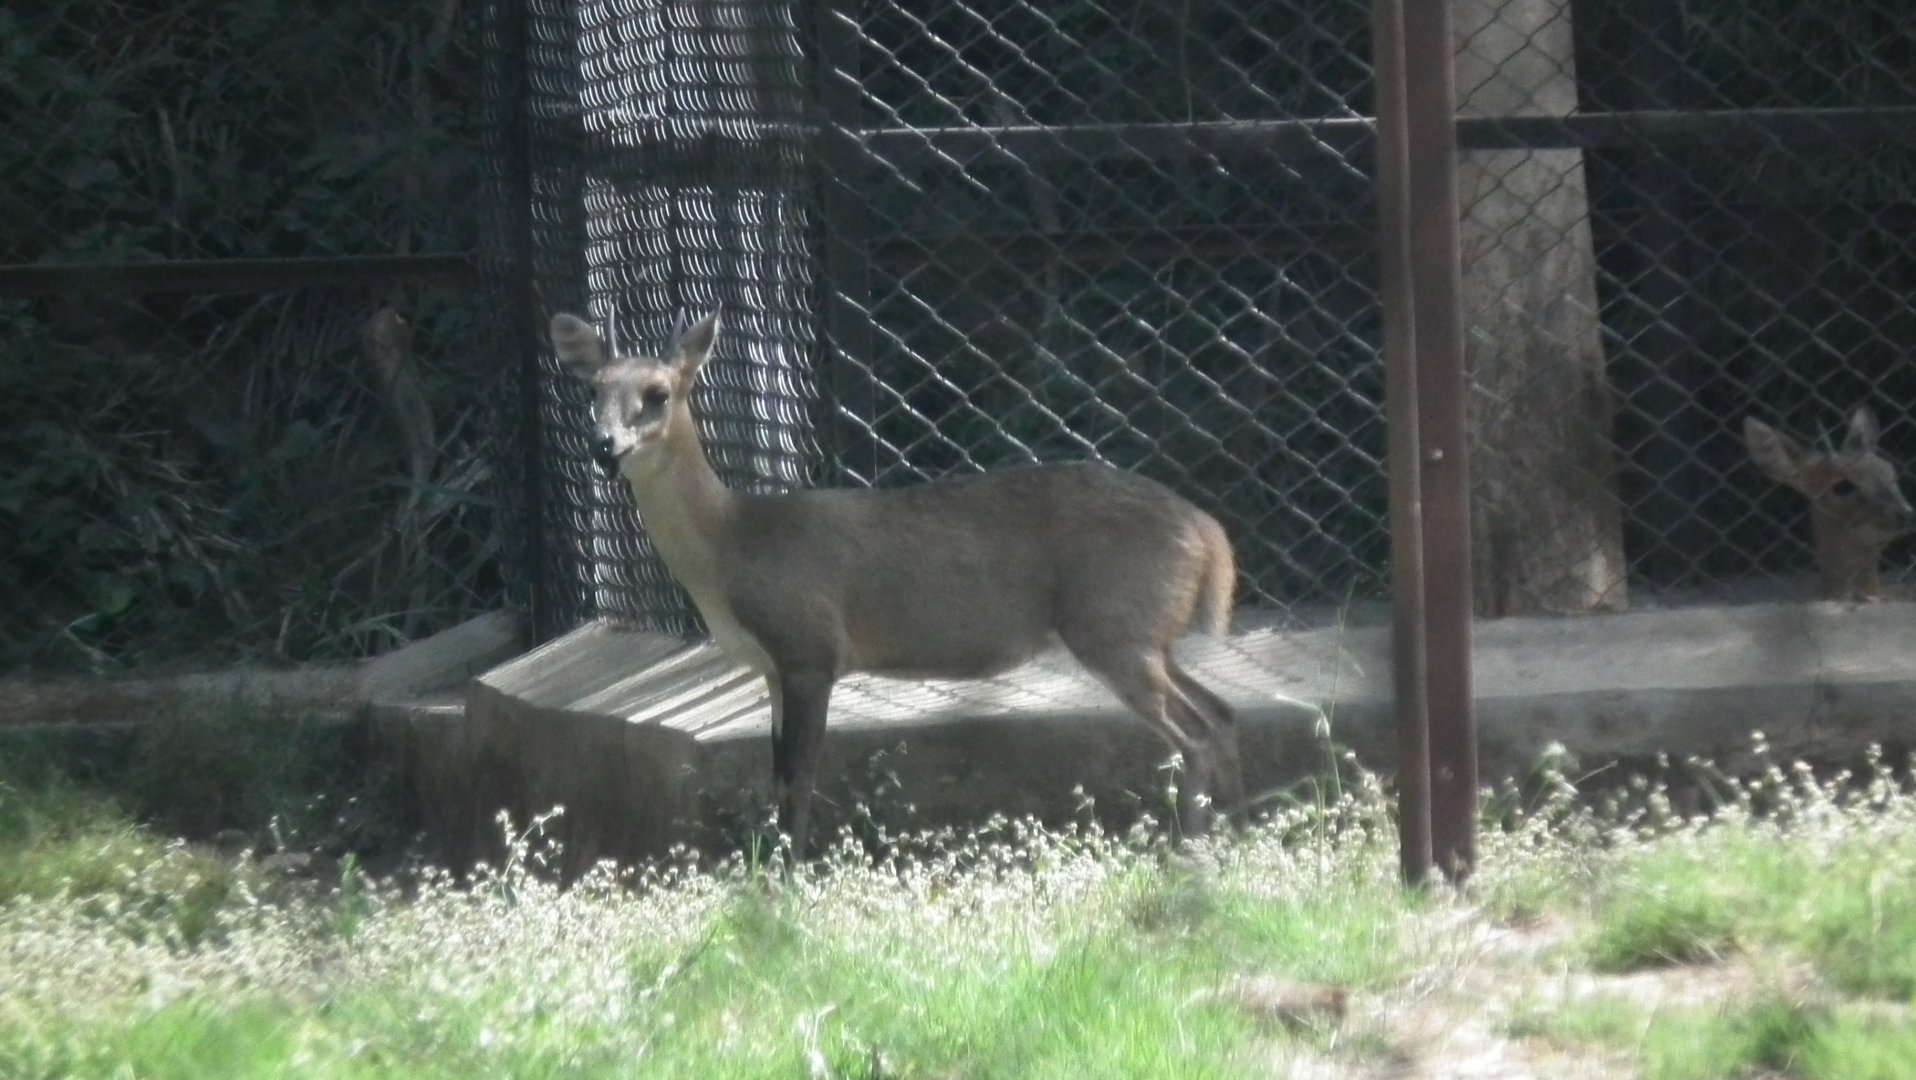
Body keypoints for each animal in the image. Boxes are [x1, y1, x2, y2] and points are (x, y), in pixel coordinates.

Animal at [551, 309, 1245, 851]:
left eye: (658, 392)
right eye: (593, 390)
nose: (605, 446)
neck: (735, 544)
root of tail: (1210, 534)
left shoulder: (810, 647)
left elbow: (799, 776)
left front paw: (784, 881)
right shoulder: (773, 668)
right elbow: (778, 774)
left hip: (1112, 627)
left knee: (1196, 732)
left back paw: (1190, 852)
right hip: (1145, 633)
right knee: (1221, 712)